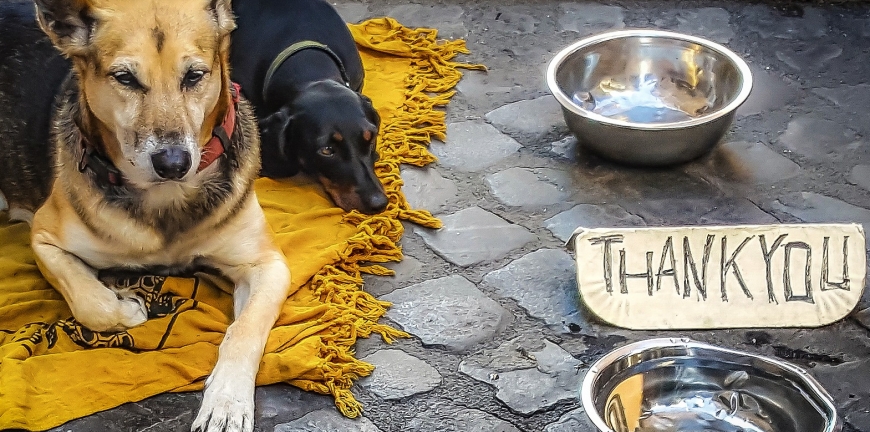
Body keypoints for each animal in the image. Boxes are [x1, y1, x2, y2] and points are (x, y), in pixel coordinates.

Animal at [0, 0, 292, 432]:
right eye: (125, 78)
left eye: (194, 75)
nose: (173, 163)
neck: (165, 199)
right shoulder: (44, 237)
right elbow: (91, 302)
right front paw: (127, 305)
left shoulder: (267, 265)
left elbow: (245, 330)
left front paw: (227, 401)